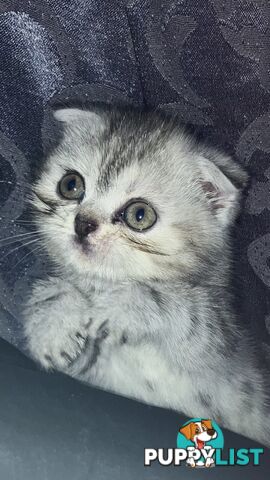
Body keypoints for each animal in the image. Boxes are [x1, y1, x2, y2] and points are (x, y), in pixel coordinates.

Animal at [24, 104, 268, 446]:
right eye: (70, 185)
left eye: (139, 215)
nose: (83, 224)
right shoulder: (92, 374)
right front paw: (52, 320)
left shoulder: (223, 350)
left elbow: (186, 308)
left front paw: (122, 305)